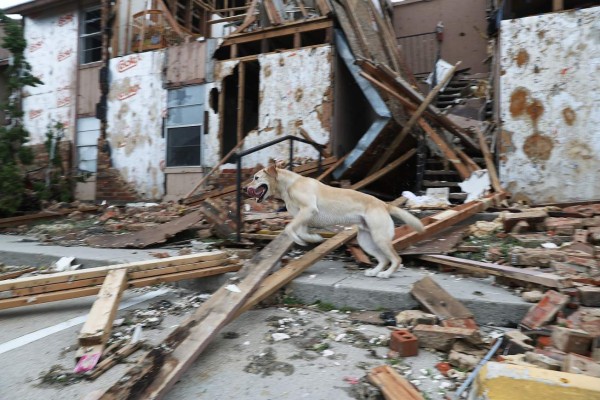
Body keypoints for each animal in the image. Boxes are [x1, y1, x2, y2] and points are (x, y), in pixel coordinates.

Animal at [246, 166, 424, 278]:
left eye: (256, 178)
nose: (244, 188)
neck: (288, 185)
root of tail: (384, 204)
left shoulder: (309, 209)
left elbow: (289, 228)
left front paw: (299, 240)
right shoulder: (303, 216)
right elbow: (300, 230)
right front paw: (314, 239)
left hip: (380, 238)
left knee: (396, 259)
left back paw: (386, 274)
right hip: (366, 241)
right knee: (384, 259)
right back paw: (374, 272)